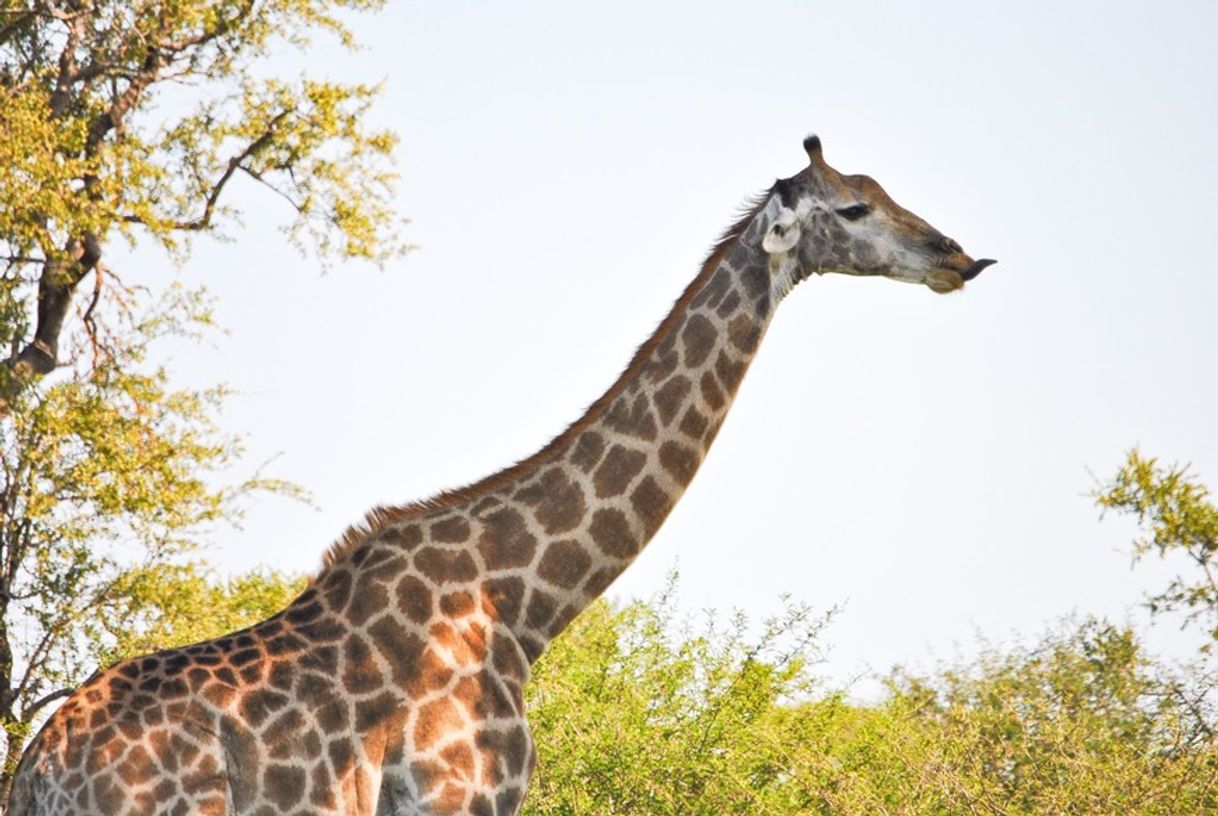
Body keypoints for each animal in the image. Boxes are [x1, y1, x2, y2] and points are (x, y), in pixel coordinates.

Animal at [9, 137, 993, 813]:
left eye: (881, 192)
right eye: (853, 210)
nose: (958, 255)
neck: (522, 599)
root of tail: (38, 770)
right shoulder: (460, 797)